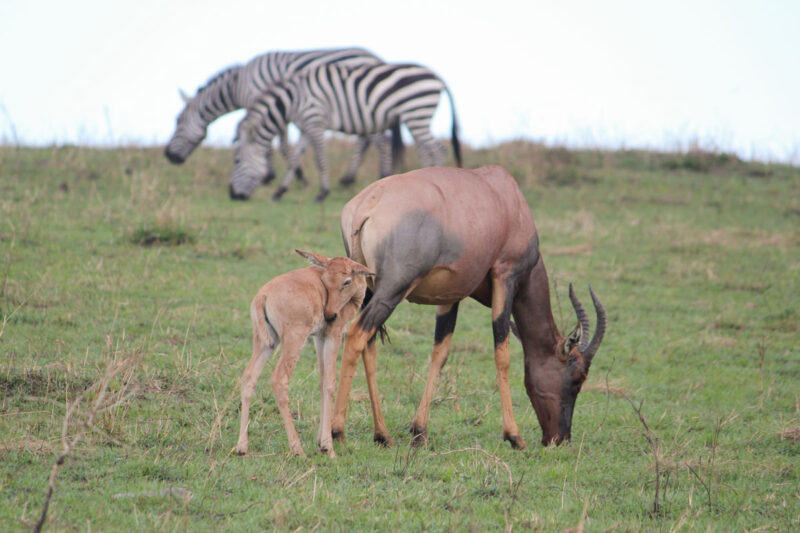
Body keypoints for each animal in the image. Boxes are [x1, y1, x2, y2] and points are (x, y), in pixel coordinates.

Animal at [166, 48, 400, 185]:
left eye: (178, 122)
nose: (169, 156)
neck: (237, 85)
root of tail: (376, 58)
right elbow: (280, 143)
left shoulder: (263, 102)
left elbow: (276, 144)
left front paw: (284, 176)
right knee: (368, 139)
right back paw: (350, 178)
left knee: (378, 140)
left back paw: (375, 175)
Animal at [228, 61, 460, 202]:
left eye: (237, 161)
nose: (232, 195)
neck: (292, 99)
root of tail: (437, 77)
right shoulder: (306, 127)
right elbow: (294, 159)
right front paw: (279, 192)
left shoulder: (315, 121)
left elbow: (320, 159)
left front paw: (322, 194)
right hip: (416, 117)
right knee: (426, 150)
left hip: (416, 111)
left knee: (437, 149)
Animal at [234, 249, 376, 458]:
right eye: (325, 279)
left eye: (346, 281)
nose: (329, 315)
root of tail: (263, 295)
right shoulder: (333, 334)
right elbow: (330, 383)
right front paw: (328, 448)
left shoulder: (319, 337)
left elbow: (322, 381)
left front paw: (321, 442)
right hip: (294, 339)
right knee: (279, 380)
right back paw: (298, 450)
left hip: (265, 343)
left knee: (249, 376)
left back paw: (242, 447)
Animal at [332, 164, 608, 446]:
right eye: (578, 377)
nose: (559, 438)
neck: (508, 200)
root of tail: (365, 206)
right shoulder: (505, 276)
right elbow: (502, 353)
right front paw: (514, 436)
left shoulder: (450, 294)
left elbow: (440, 353)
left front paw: (420, 431)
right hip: (393, 288)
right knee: (355, 334)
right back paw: (338, 433)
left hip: (368, 289)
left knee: (369, 343)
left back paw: (382, 435)